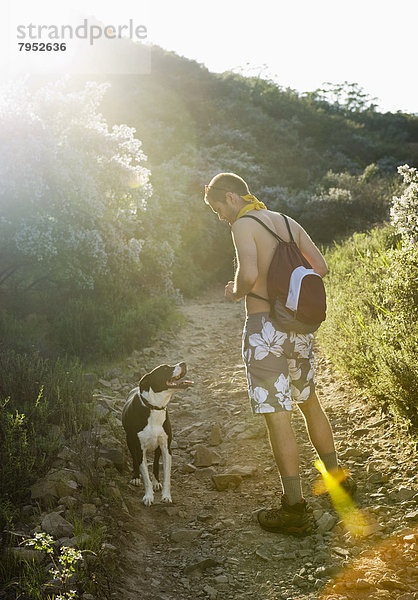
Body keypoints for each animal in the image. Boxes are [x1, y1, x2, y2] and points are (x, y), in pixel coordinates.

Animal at [121, 360, 193, 506]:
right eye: (165, 369)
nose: (183, 363)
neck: (154, 407)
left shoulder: (166, 448)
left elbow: (166, 476)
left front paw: (166, 496)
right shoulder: (139, 449)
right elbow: (145, 476)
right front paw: (148, 496)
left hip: (158, 446)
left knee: (155, 463)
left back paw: (156, 482)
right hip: (129, 441)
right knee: (135, 460)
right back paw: (135, 477)